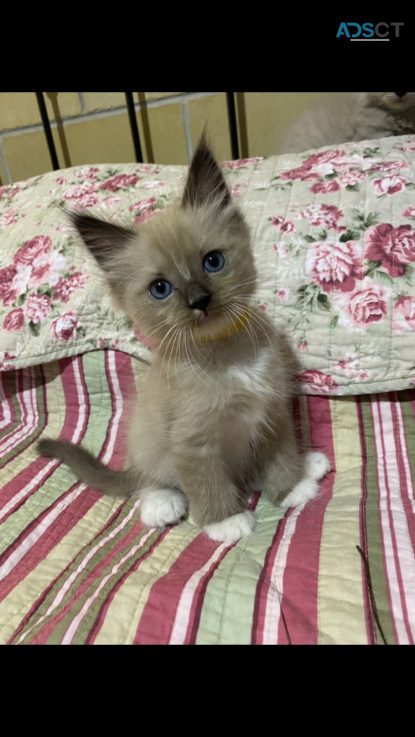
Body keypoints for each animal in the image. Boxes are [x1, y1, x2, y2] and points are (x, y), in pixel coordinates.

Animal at [39, 135, 332, 544]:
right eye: (160, 289)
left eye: (213, 262)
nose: (199, 300)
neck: (226, 354)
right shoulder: (193, 444)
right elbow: (207, 485)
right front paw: (226, 521)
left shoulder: (273, 415)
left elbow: (280, 457)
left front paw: (292, 487)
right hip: (147, 441)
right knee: (145, 480)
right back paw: (162, 504)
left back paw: (309, 464)